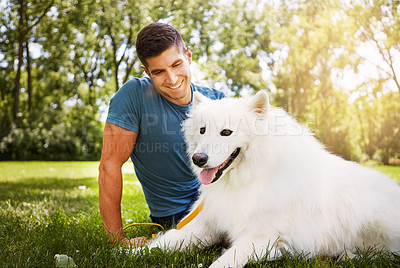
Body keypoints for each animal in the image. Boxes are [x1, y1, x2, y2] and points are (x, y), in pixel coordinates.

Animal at [139, 91, 400, 266]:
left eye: (226, 132)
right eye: (202, 130)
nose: (198, 159)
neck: (250, 177)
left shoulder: (261, 237)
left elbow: (222, 262)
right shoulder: (205, 224)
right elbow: (162, 243)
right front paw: (131, 253)